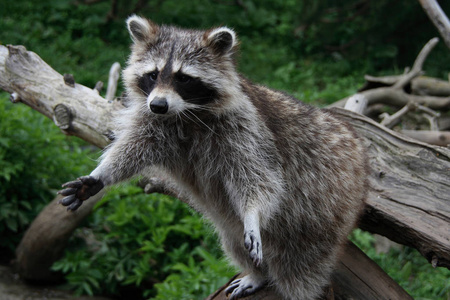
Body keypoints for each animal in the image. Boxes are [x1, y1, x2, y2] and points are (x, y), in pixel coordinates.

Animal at [59, 15, 368, 300]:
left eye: (183, 78)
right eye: (153, 74)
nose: (158, 105)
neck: (186, 114)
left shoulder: (245, 128)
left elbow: (260, 178)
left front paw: (253, 214)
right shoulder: (155, 123)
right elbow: (133, 149)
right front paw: (100, 175)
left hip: (322, 217)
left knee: (302, 270)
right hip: (234, 228)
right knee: (233, 243)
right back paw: (256, 274)